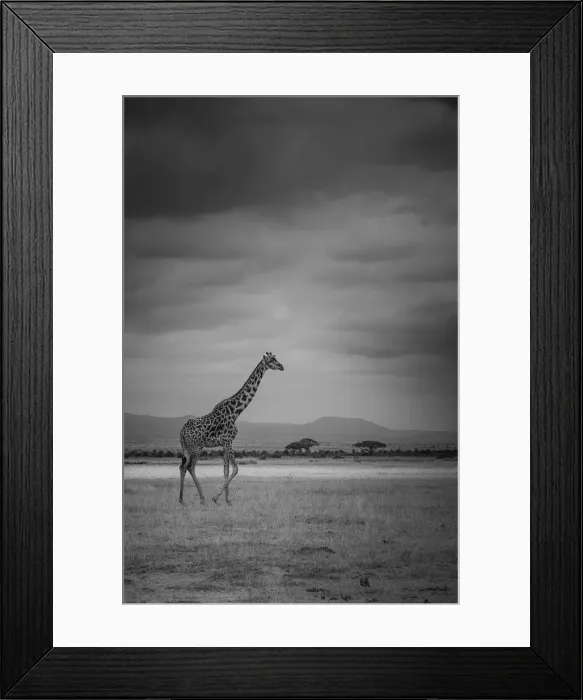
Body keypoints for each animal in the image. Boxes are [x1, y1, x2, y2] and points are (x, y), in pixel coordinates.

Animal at [178, 352, 284, 505]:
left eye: (276, 359)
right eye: (271, 361)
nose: (282, 366)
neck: (236, 412)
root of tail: (182, 433)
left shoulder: (225, 443)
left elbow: (226, 470)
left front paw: (227, 500)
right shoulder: (228, 440)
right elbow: (235, 468)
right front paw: (216, 498)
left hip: (186, 447)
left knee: (182, 466)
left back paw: (181, 500)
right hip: (196, 447)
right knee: (190, 467)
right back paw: (203, 498)